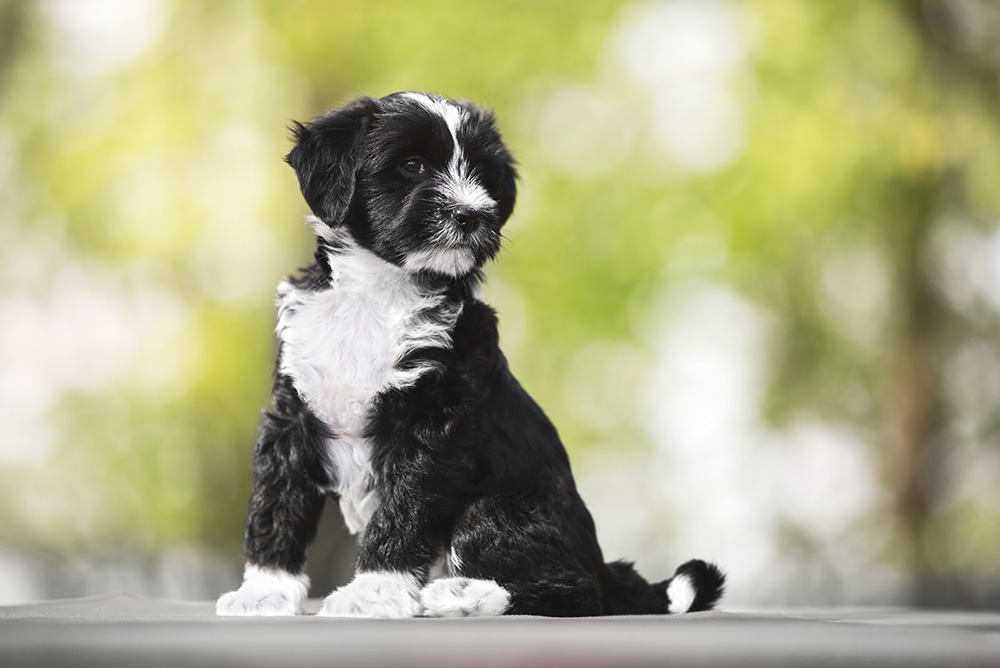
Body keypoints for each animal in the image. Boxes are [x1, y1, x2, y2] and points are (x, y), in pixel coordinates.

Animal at [215, 91, 724, 620]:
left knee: (575, 592)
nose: (472, 213)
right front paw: (265, 590)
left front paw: (373, 590)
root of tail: (606, 568)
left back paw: (458, 596)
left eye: (483, 176)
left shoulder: (434, 424)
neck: (377, 294)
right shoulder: (292, 416)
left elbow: (403, 510)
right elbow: (277, 504)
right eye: (412, 165)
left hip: (496, 508)